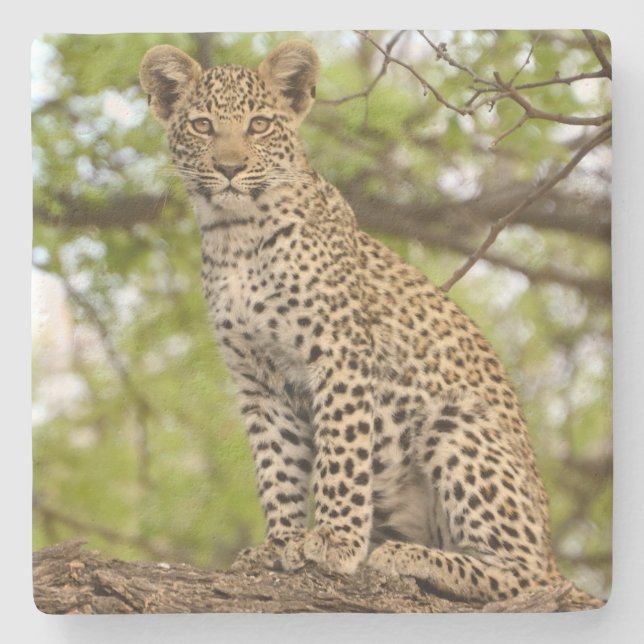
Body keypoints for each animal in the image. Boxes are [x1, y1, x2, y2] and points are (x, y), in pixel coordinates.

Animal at [139, 39, 601, 606]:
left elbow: (340, 455)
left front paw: (334, 541)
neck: (235, 234)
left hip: (459, 421)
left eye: (259, 124)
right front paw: (278, 545)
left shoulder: (339, 353)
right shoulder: (257, 381)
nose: (229, 168)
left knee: (525, 575)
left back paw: (409, 556)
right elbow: (276, 469)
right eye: (203, 125)